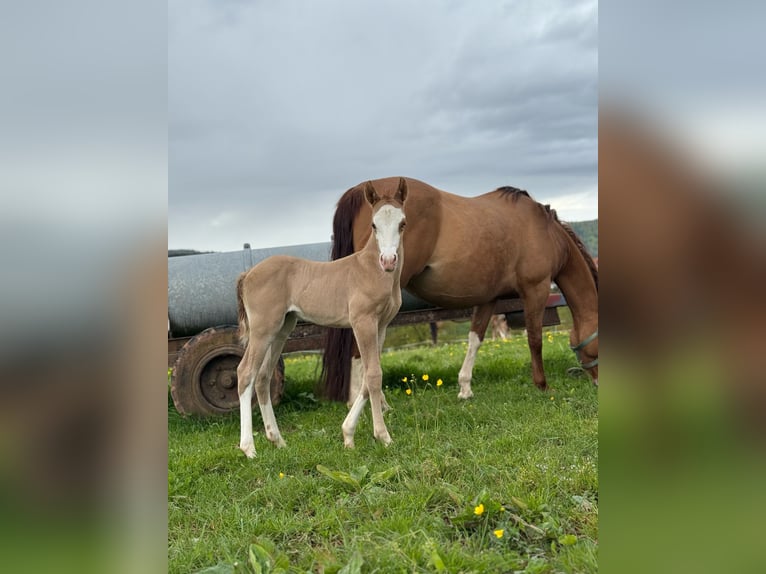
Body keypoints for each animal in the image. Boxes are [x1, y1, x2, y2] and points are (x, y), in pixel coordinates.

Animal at [236, 178, 408, 457]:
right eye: (373, 225)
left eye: (402, 223)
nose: (389, 260)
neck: (372, 270)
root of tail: (248, 273)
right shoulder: (363, 322)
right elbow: (373, 375)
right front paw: (383, 436)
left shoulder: (381, 326)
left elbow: (369, 374)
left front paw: (348, 435)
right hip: (263, 330)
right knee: (245, 373)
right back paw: (249, 448)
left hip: (282, 327)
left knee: (262, 377)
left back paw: (278, 440)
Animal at [322, 177, 598, 404]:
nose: (597, 382)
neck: (547, 233)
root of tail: (358, 191)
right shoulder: (536, 289)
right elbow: (535, 339)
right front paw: (542, 385)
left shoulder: (489, 298)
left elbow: (475, 338)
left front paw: (465, 388)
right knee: (361, 350)